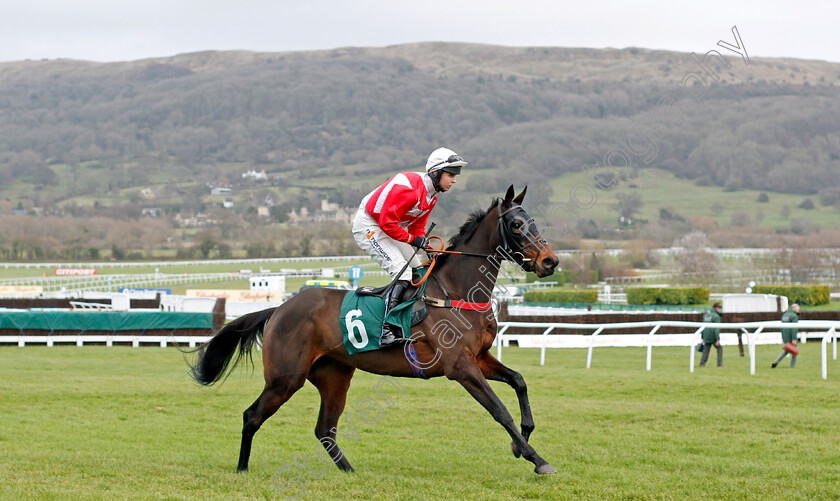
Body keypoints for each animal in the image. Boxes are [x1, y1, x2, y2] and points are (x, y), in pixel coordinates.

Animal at [189, 187, 556, 472]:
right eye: (517, 224)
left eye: (535, 221)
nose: (550, 262)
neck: (457, 290)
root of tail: (280, 308)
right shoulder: (460, 366)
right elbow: (499, 410)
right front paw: (536, 458)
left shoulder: (479, 358)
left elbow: (519, 382)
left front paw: (521, 442)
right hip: (285, 377)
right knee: (252, 416)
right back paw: (242, 468)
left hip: (334, 375)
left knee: (325, 429)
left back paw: (349, 471)